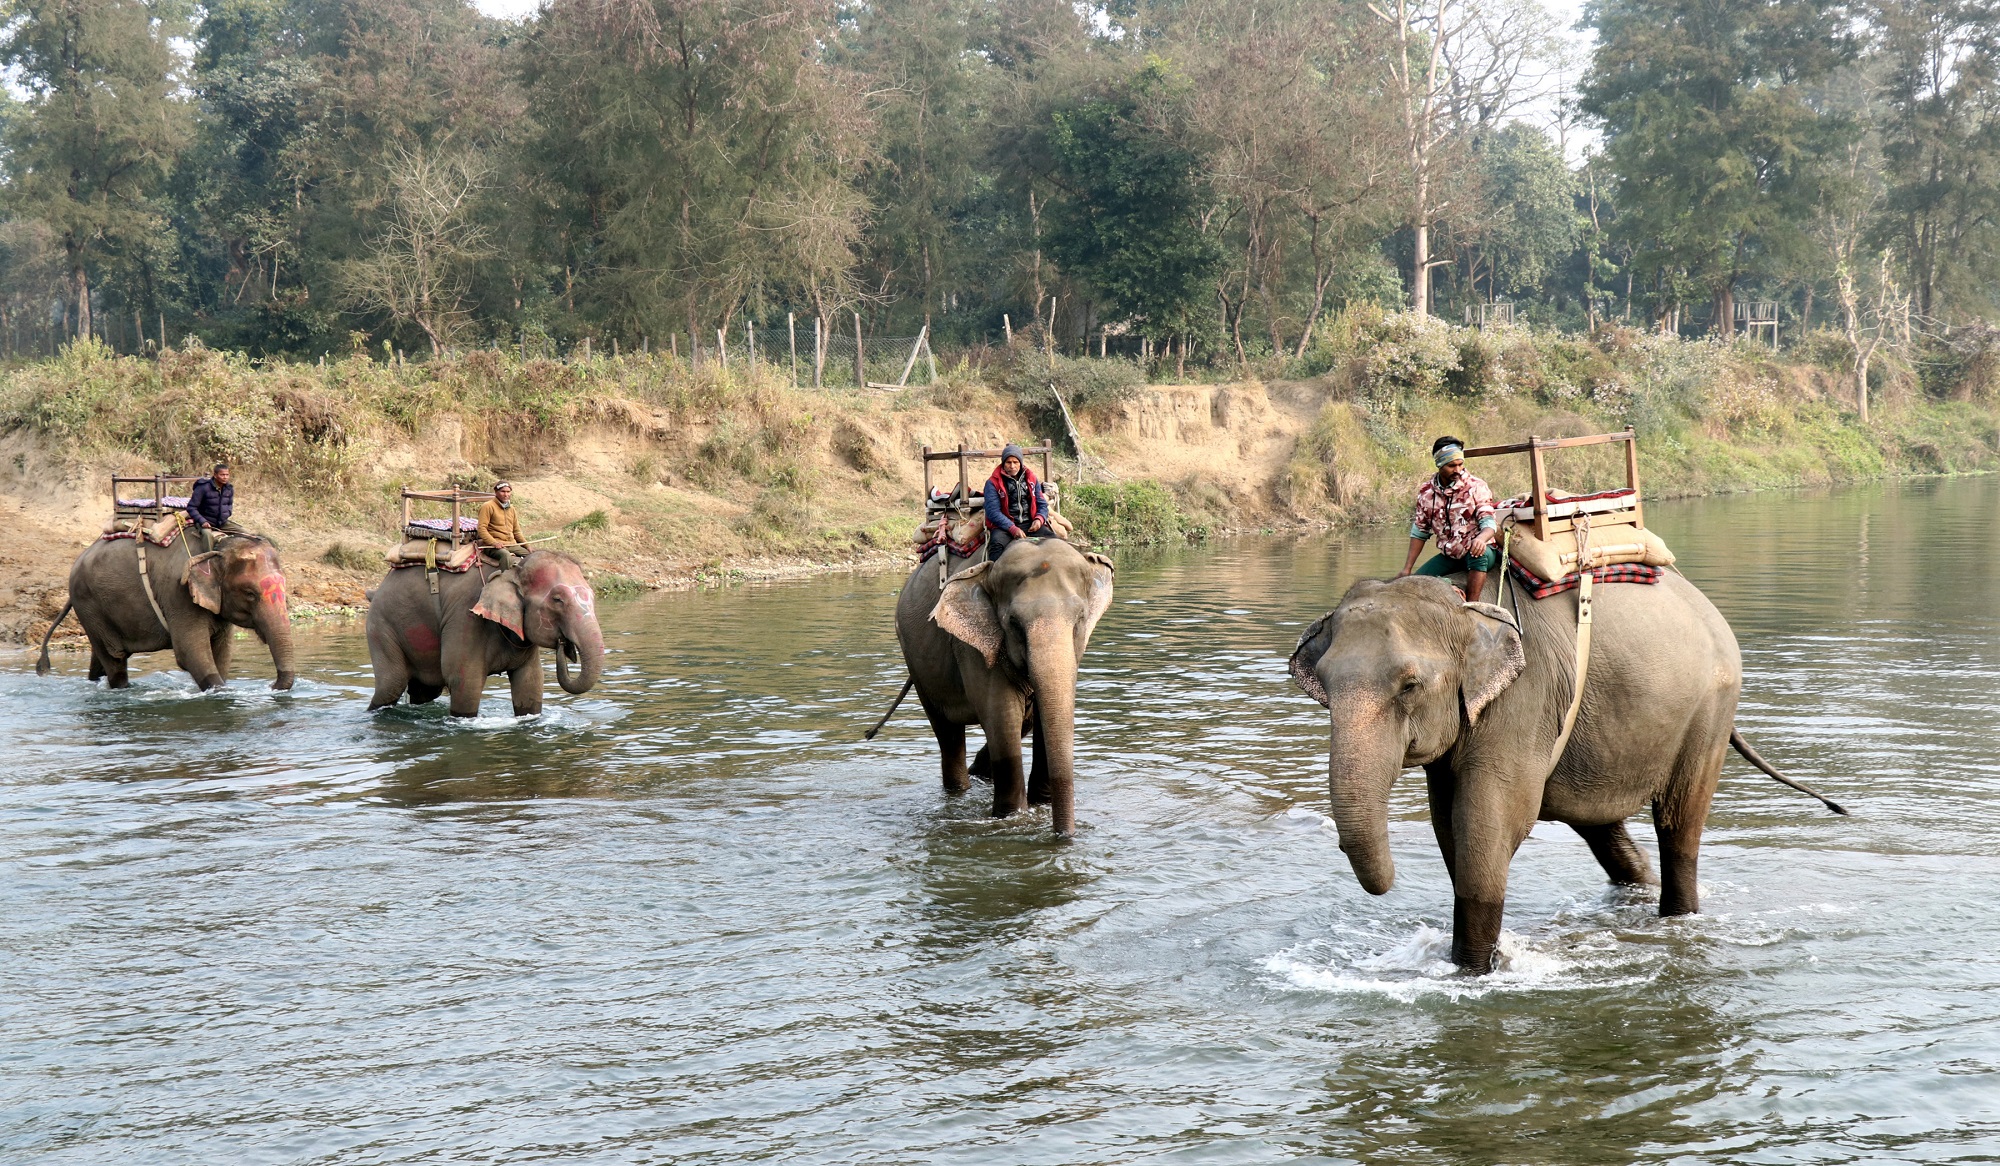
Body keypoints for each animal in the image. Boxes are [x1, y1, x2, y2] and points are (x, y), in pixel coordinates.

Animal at [35, 532, 294, 688]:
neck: (216, 546)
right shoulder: (178, 593)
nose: (271, 685)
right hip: (88, 604)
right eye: (249, 593)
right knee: (115, 660)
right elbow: (191, 653)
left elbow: (222, 653)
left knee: (100, 658)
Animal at [366, 548, 600, 720]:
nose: (564, 644)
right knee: (391, 684)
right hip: (382, 627)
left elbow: (531, 680)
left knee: (424, 691)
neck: (513, 570)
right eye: (558, 600)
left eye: (593, 595)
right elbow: (464, 680)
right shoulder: (465, 618)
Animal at [900, 540, 1120, 840]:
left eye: (1080, 620)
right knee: (948, 735)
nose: (1064, 836)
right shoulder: (974, 647)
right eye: (1014, 623)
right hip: (916, 664)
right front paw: (1012, 818)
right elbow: (1002, 718)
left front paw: (1042, 804)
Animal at [1288, 576, 1832, 976]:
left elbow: (1489, 822)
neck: (1461, 605)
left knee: (1679, 825)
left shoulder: (1523, 700)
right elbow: (1449, 826)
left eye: (1410, 685)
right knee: (1602, 827)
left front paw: (1472, 973)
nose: (1387, 885)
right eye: (1324, 688)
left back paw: (1676, 917)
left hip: (1711, 709)